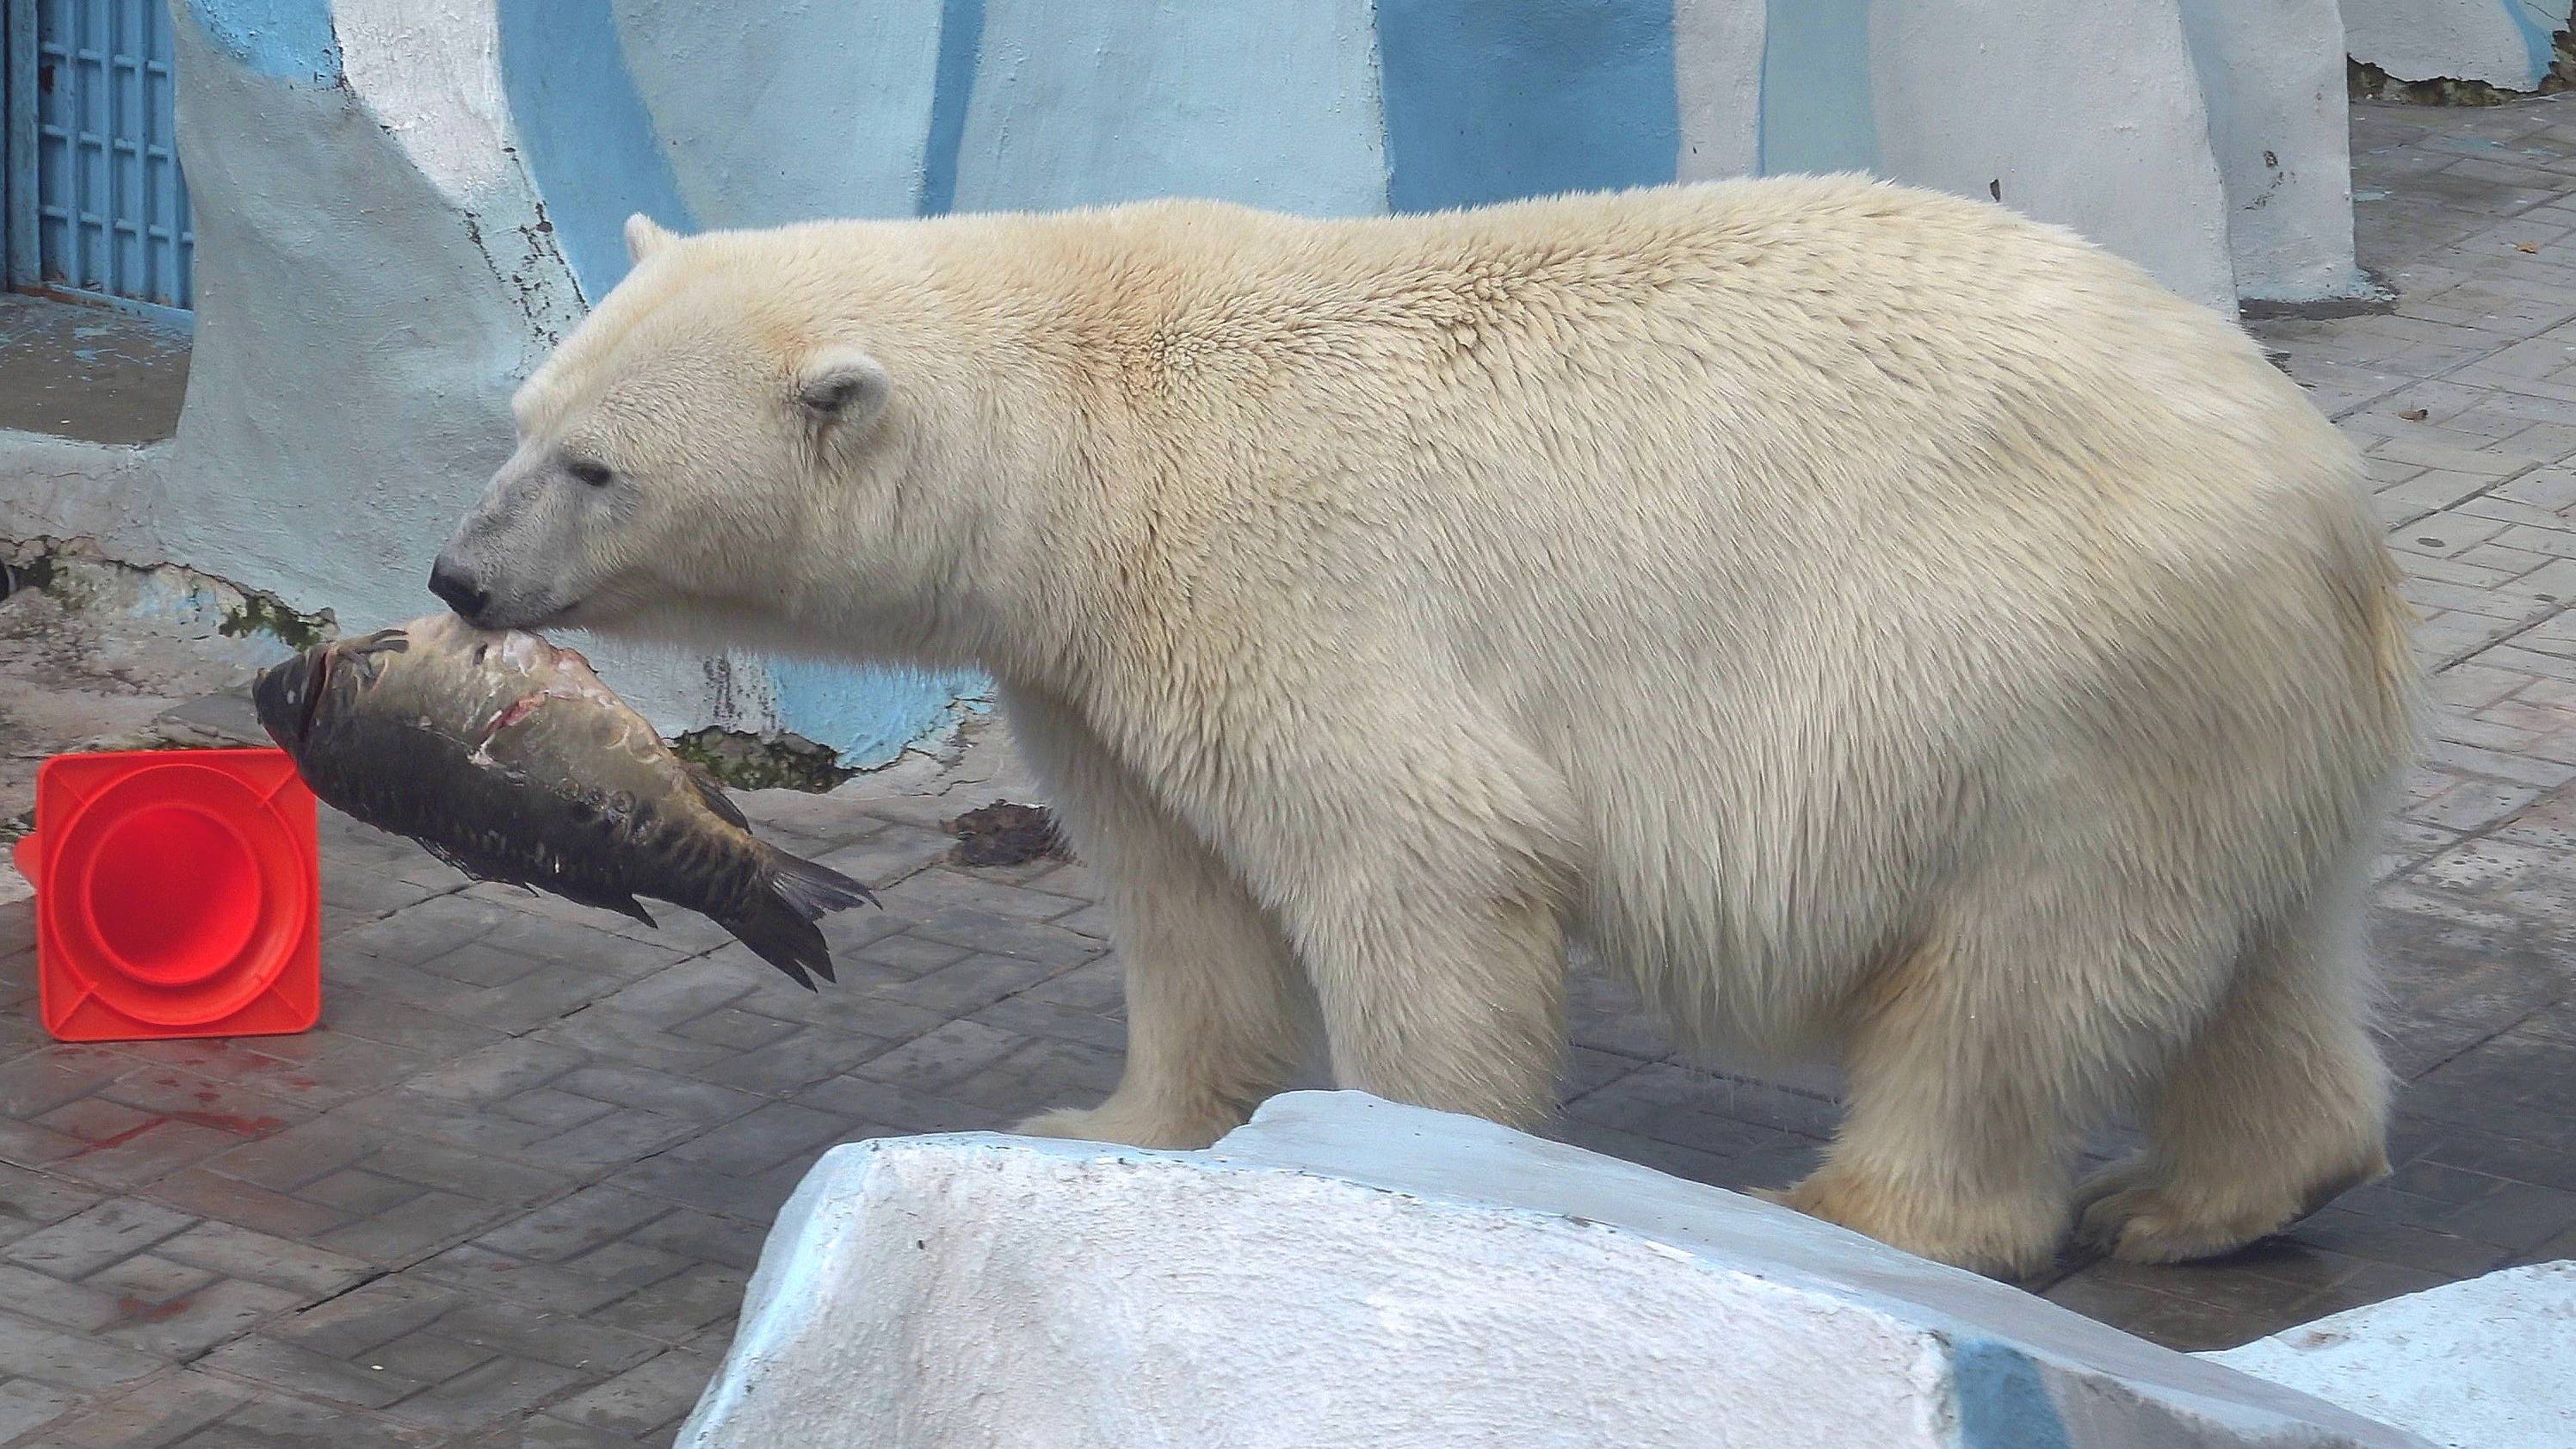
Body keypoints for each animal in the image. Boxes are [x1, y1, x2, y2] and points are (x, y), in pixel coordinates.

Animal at [432, 181, 2421, 1281]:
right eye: (521, 418)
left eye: (593, 467)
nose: (456, 572)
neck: (1091, 420)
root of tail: (2324, 499)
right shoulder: (1089, 660)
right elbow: (1176, 891)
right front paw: (1119, 1115)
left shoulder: (1265, 571)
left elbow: (1422, 855)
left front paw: (1401, 1163)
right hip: (2217, 716)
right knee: (2247, 951)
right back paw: (2212, 1192)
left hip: (2032, 672)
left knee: (2010, 973)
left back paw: (1871, 1203)